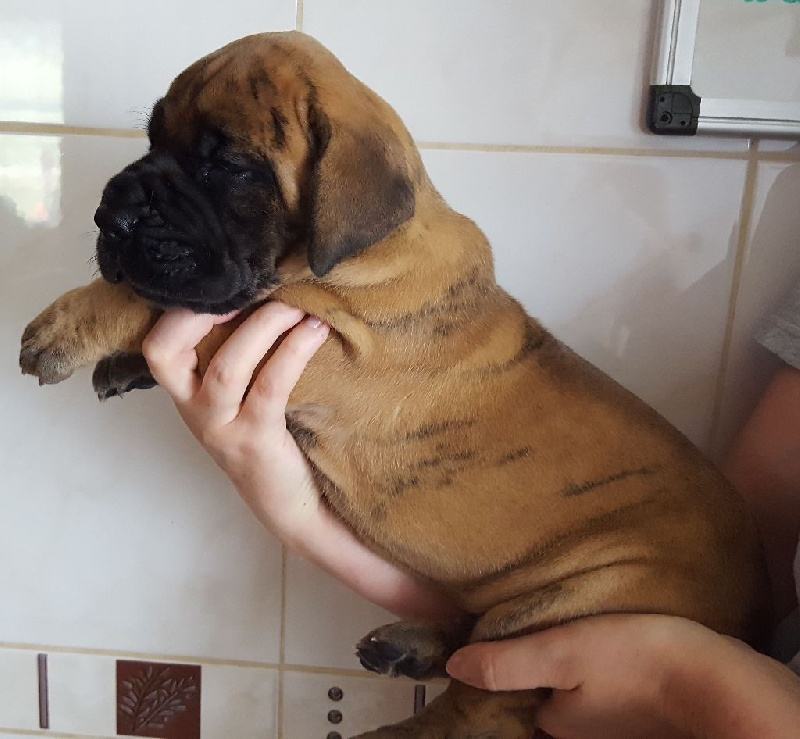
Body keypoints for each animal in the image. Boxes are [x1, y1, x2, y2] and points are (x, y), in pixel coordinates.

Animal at [19, 31, 769, 737]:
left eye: (230, 167)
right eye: (153, 137)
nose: (109, 216)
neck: (352, 257)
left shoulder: (329, 349)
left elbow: (190, 309)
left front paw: (71, 323)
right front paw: (125, 364)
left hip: (574, 601)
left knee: (484, 707)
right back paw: (412, 646)